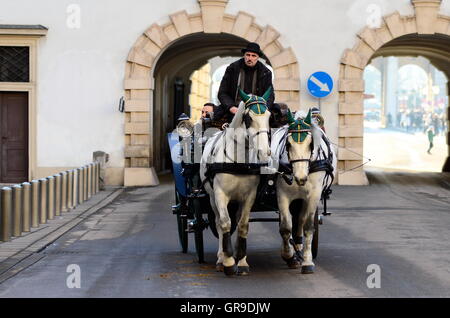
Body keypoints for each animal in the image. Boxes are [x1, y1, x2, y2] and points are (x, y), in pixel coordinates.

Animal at [200, 87, 270, 276]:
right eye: (248, 118)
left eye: (269, 116)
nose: (264, 152)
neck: (239, 161)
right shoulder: (220, 195)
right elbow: (225, 223)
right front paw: (229, 261)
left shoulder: (249, 196)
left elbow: (243, 225)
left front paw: (242, 261)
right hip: (211, 198)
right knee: (219, 222)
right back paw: (221, 258)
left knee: (237, 221)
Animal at [272, 109, 336, 274]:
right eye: (288, 144)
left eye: (311, 143)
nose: (300, 178)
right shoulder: (282, 195)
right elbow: (285, 227)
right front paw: (288, 255)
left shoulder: (313, 195)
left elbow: (308, 226)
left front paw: (307, 261)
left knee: (300, 220)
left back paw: (299, 246)